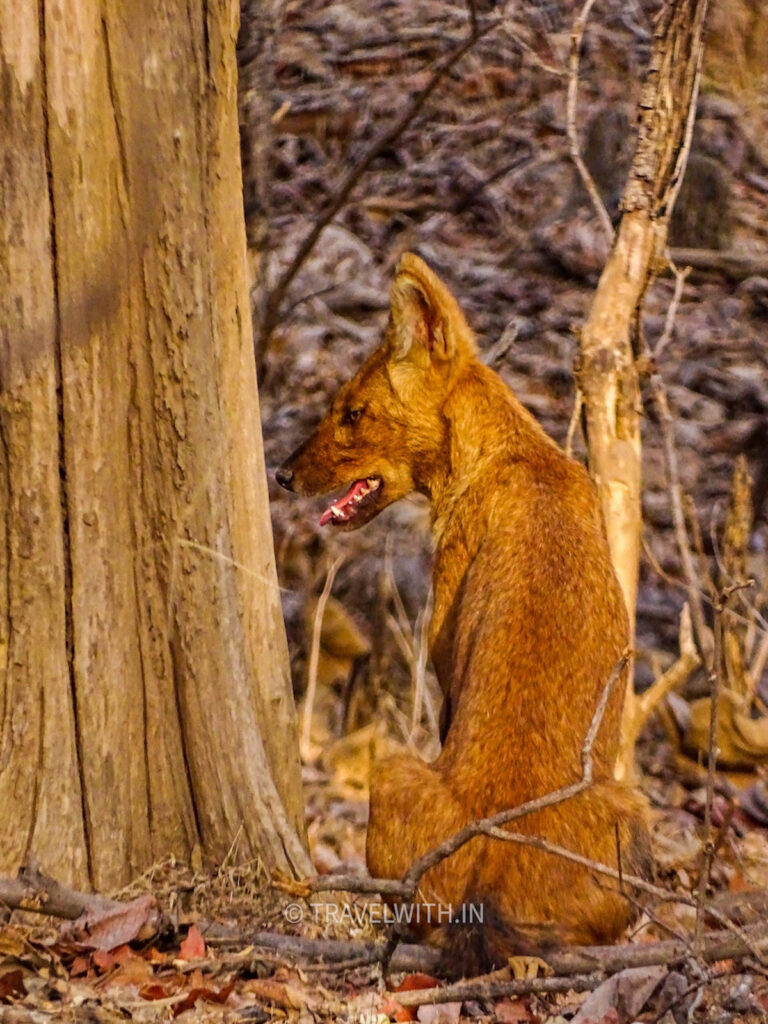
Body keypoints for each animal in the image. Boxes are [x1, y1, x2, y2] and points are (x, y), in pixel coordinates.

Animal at [276, 253, 651, 966]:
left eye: (353, 412)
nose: (281, 475)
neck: (512, 454)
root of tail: (494, 870)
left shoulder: (446, 662)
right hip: (631, 808)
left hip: (393, 766)